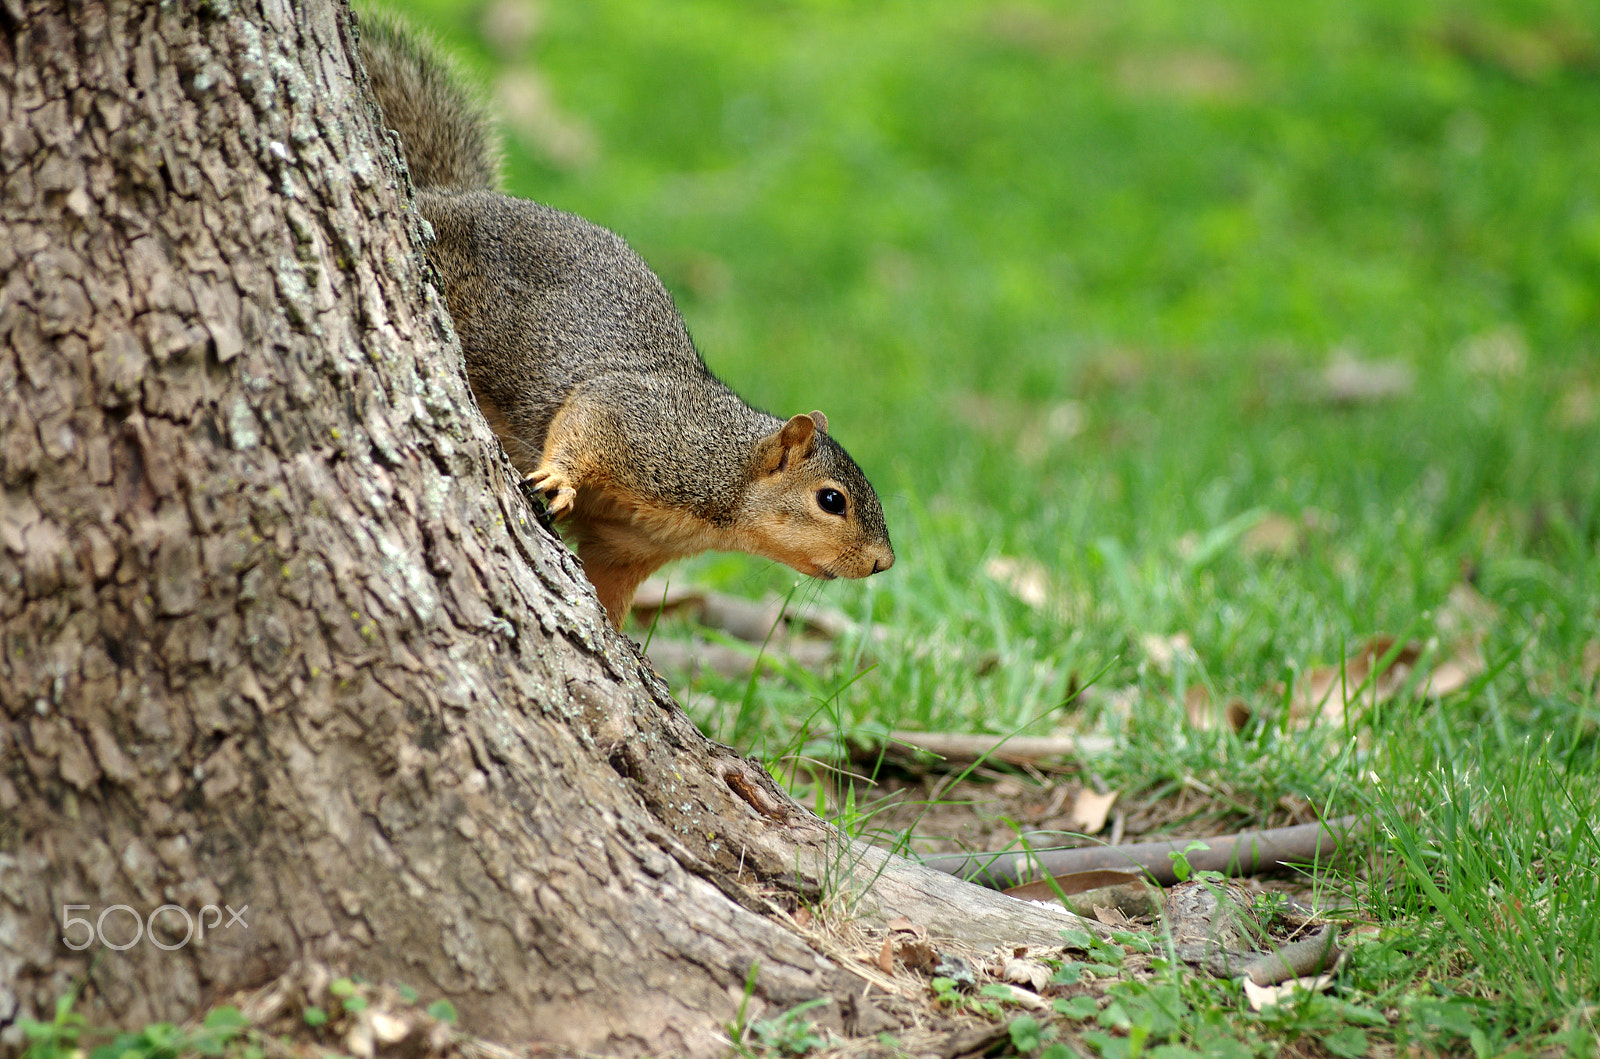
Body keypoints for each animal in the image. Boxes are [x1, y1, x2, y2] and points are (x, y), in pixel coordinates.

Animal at [355, 14, 896, 630]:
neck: (729, 477)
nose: (883, 562)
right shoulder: (648, 428)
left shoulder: (626, 544)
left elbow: (608, 587)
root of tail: (444, 194)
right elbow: (587, 419)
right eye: (832, 500)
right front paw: (558, 477)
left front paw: (623, 643)